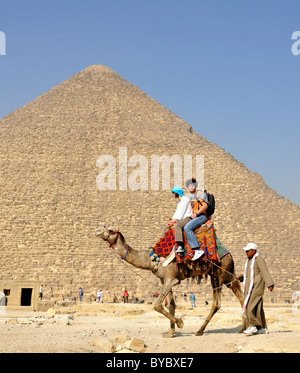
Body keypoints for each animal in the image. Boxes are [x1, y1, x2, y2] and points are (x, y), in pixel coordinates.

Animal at [95, 224, 245, 338]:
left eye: (110, 230)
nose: (96, 230)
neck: (151, 259)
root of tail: (229, 254)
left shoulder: (171, 279)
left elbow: (157, 305)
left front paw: (180, 323)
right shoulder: (165, 280)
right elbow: (171, 305)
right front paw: (171, 333)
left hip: (218, 274)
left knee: (217, 303)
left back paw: (200, 330)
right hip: (228, 275)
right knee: (240, 294)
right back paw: (243, 328)